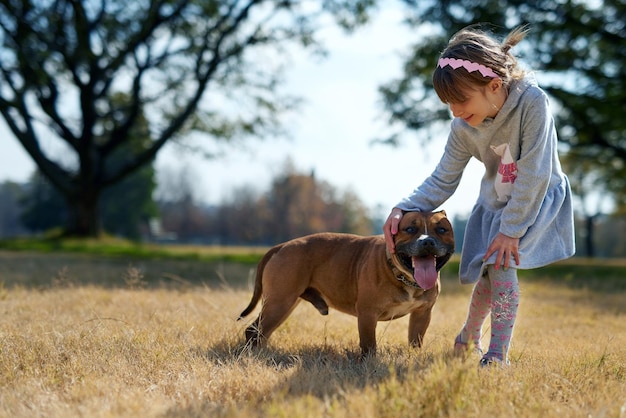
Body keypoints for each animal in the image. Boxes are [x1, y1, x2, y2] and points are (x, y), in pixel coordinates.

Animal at [236, 211, 450, 354]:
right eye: (410, 229)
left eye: (442, 230)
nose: (427, 241)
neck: (402, 274)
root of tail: (281, 246)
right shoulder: (367, 314)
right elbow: (369, 344)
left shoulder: (422, 314)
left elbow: (415, 340)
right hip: (279, 302)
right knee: (254, 330)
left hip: (284, 305)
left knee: (263, 331)